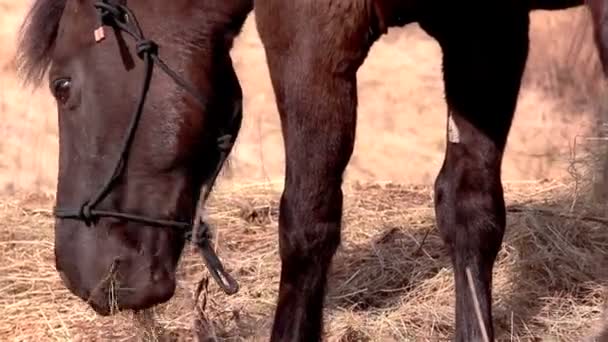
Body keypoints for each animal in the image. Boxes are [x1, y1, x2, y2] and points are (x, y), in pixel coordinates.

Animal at [13, 0, 608, 340]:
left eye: (61, 86)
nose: (76, 271)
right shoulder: (483, 26)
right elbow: (471, 208)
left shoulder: (308, 30)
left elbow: (307, 220)